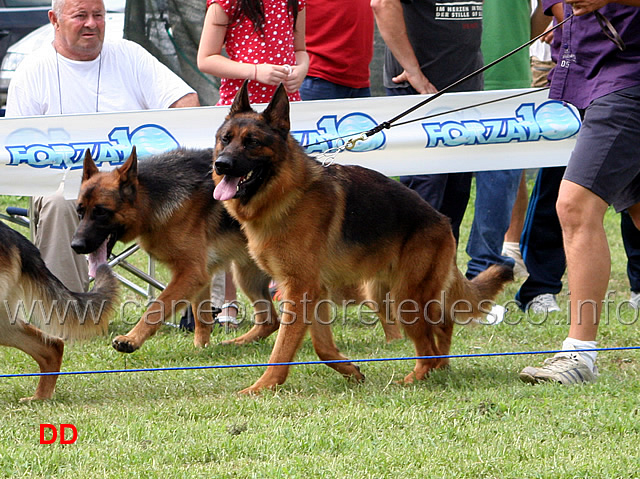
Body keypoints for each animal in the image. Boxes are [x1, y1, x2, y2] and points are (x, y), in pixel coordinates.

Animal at [70, 146, 284, 352]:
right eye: (80, 211)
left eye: (101, 212)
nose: (76, 246)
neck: (151, 198)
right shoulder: (200, 274)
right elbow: (202, 317)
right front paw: (201, 349)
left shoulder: (190, 272)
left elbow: (157, 307)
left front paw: (131, 339)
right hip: (247, 275)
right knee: (270, 321)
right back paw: (237, 343)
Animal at [212, 82, 512, 396]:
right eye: (225, 139)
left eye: (252, 142)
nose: (221, 164)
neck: (287, 192)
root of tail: (442, 221)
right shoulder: (312, 291)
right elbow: (322, 346)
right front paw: (350, 370)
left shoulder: (300, 290)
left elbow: (282, 349)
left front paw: (263, 387)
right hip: (384, 291)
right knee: (442, 327)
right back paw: (438, 370)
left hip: (406, 299)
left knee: (428, 348)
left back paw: (413, 379)